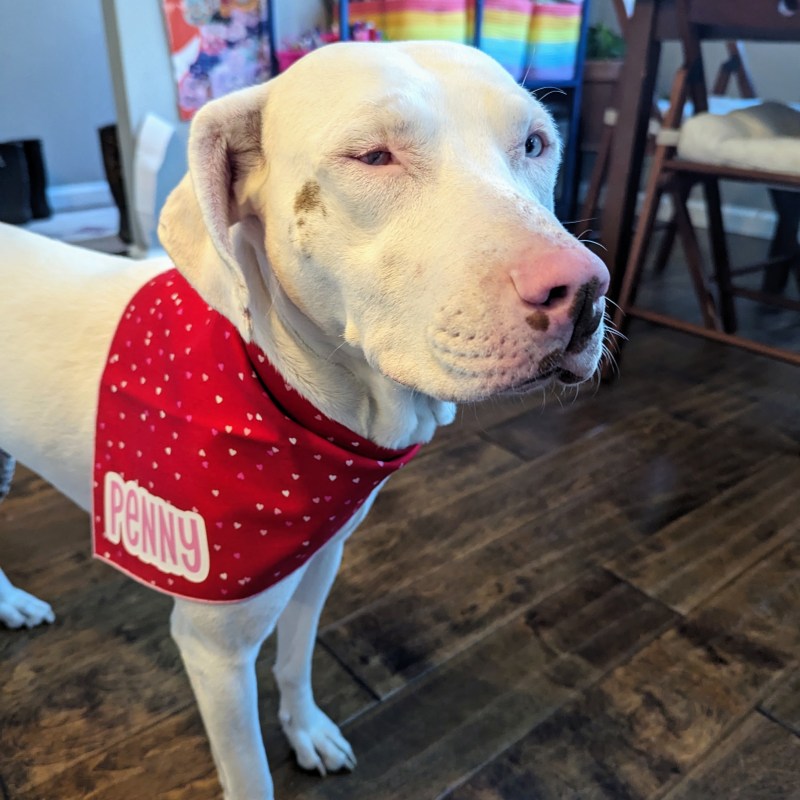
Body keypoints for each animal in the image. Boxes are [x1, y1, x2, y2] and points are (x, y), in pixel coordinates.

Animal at [0, 43, 608, 800]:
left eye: (534, 144)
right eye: (372, 156)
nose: (585, 290)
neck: (285, 395)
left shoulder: (320, 561)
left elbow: (294, 661)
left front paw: (306, 730)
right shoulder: (214, 650)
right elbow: (249, 770)